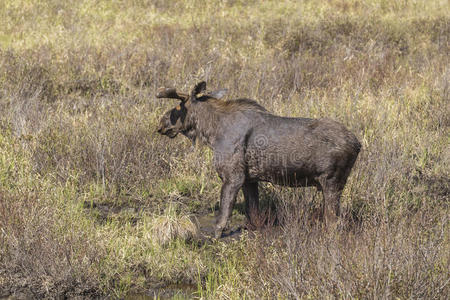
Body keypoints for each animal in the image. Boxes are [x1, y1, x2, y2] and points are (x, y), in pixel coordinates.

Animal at [156, 81, 360, 238]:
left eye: (178, 107)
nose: (161, 124)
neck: (212, 132)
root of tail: (358, 144)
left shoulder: (233, 176)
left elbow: (222, 216)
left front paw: (216, 235)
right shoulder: (249, 180)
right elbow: (253, 214)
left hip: (331, 181)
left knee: (334, 223)